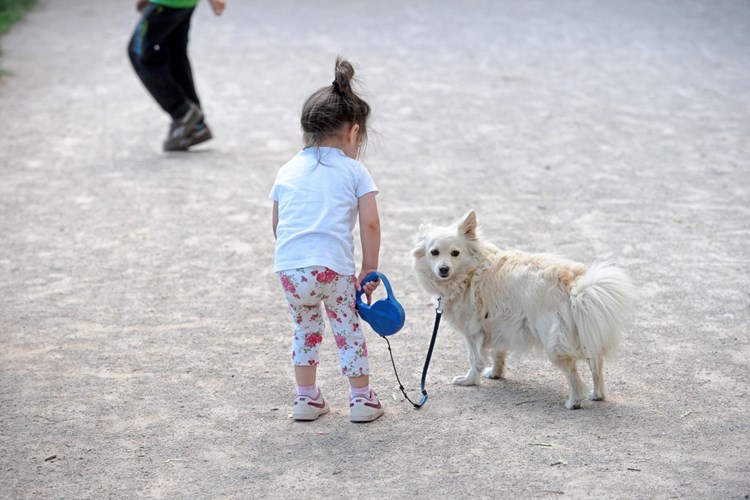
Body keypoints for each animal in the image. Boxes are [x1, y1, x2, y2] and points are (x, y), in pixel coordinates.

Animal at [414, 209, 636, 408]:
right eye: (434, 253)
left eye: (455, 253)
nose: (443, 269)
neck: (470, 271)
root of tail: (574, 286)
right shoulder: (498, 323)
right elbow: (498, 352)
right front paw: (495, 373)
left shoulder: (472, 332)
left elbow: (474, 359)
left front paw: (469, 381)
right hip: (585, 336)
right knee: (596, 367)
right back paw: (596, 395)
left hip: (554, 345)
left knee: (574, 377)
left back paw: (573, 402)